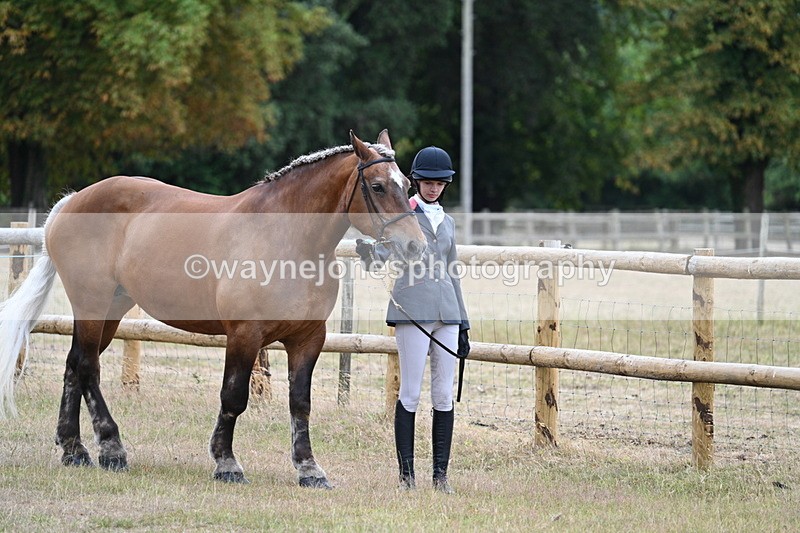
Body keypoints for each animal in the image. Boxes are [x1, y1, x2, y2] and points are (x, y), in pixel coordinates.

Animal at [0, 130, 426, 488]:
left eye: (407, 186)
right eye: (377, 186)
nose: (414, 246)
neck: (287, 238)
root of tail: (70, 202)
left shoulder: (308, 339)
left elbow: (300, 403)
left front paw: (309, 469)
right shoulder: (244, 334)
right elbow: (233, 397)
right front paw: (227, 463)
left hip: (111, 310)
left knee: (75, 365)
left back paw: (73, 449)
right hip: (92, 304)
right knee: (88, 367)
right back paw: (111, 448)